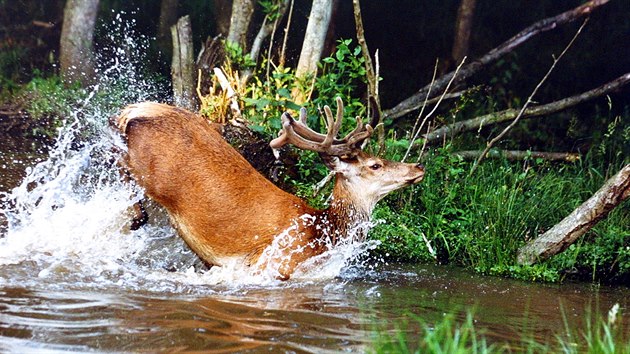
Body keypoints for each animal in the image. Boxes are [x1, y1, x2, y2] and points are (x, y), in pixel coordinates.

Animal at [116, 97, 428, 280]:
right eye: (375, 165)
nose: (418, 167)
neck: (323, 234)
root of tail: (134, 109)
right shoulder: (274, 264)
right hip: (148, 170)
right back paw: (133, 216)